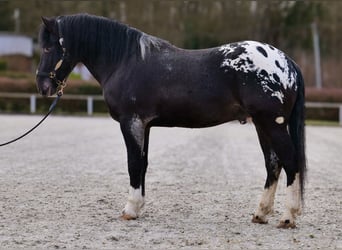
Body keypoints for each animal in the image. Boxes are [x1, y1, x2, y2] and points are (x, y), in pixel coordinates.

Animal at [36, 13, 306, 229]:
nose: (43, 86)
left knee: (290, 162)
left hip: (272, 124)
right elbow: (143, 164)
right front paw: (139, 207)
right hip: (262, 125)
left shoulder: (131, 122)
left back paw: (288, 217)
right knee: (273, 164)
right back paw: (261, 214)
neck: (124, 61)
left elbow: (133, 164)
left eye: (48, 48)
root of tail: (287, 62)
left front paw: (130, 210)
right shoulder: (145, 125)